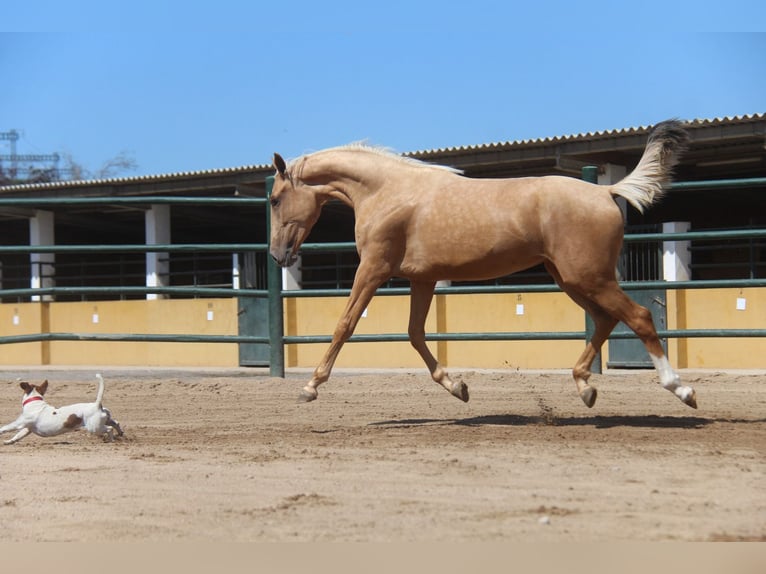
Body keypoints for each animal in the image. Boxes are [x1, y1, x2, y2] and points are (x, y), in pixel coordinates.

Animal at [268, 120, 700, 410]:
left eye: (273, 199)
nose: (277, 254)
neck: (387, 192)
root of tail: (606, 191)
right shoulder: (423, 279)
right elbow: (415, 334)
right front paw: (457, 387)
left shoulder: (373, 268)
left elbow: (345, 324)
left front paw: (310, 387)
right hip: (572, 279)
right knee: (606, 319)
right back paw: (585, 387)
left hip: (588, 277)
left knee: (639, 316)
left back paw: (682, 389)